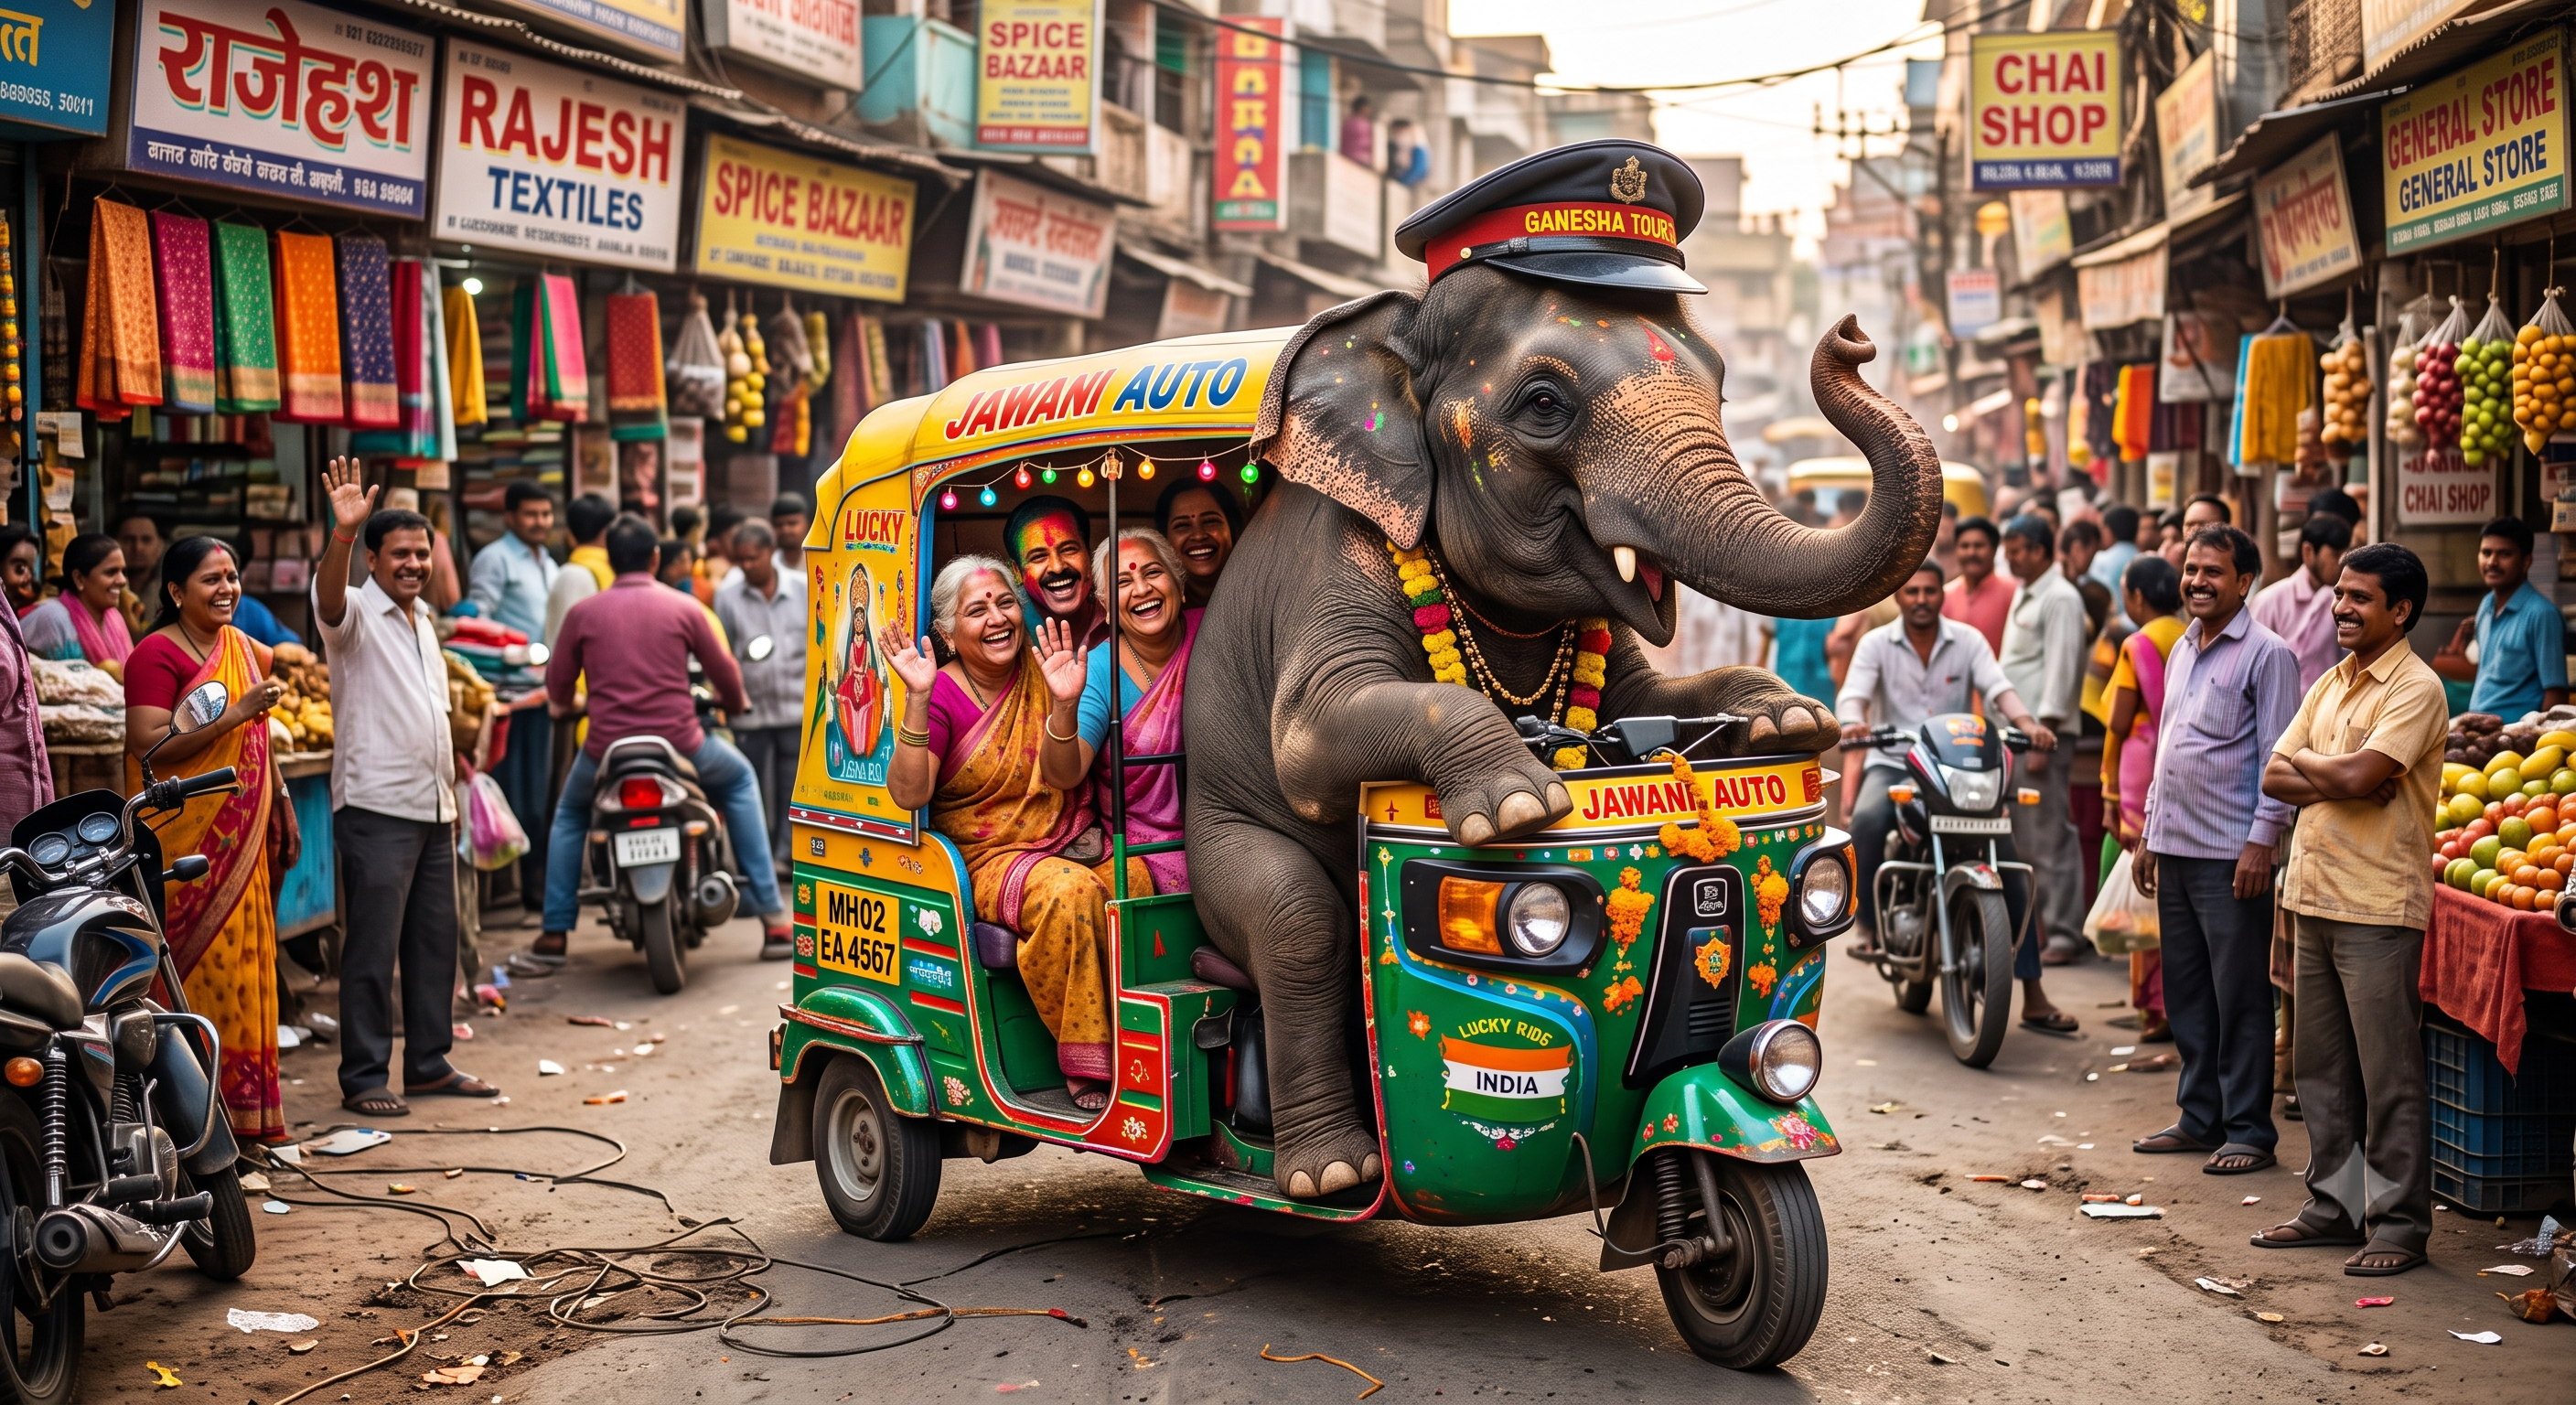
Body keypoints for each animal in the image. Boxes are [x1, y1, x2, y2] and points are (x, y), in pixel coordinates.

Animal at [1179, 267, 1945, 1201]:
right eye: (1545, 404)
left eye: (1723, 390)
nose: (1852, 337)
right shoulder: (1332, 564)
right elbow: (1311, 739)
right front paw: (1517, 806)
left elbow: (1651, 696)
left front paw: (1787, 720)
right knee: (1294, 921)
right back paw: (1332, 1175)